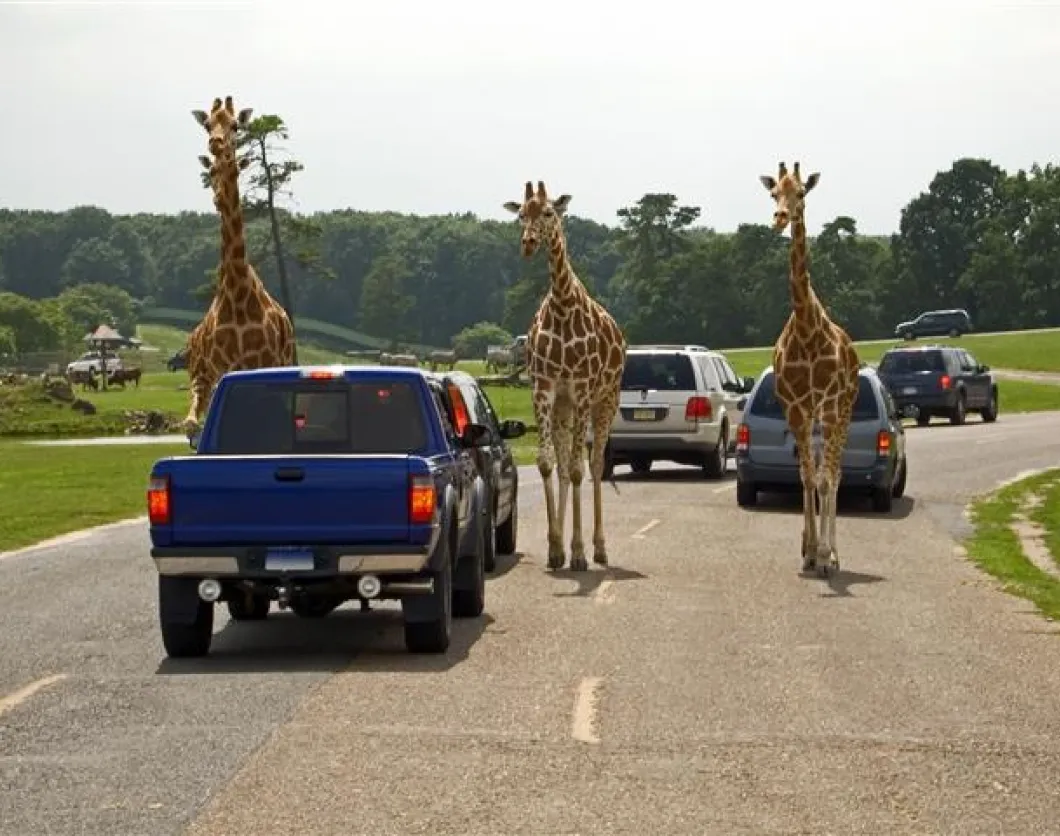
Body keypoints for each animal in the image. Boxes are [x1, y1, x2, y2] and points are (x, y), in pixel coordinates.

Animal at [182, 95, 295, 433]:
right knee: (194, 418)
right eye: (207, 124)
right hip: (200, 374)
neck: (236, 288)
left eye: (235, 125)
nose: (216, 143)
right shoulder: (221, 372)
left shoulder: (261, 367)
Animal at [503, 181, 627, 572]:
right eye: (520, 214)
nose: (528, 243)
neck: (562, 304)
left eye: (548, 213)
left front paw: (578, 553)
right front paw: (556, 548)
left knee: (595, 464)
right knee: (562, 465)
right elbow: (548, 464)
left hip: (606, 400)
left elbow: (577, 470)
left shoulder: (583, 391)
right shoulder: (544, 390)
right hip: (564, 408)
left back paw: (599, 548)